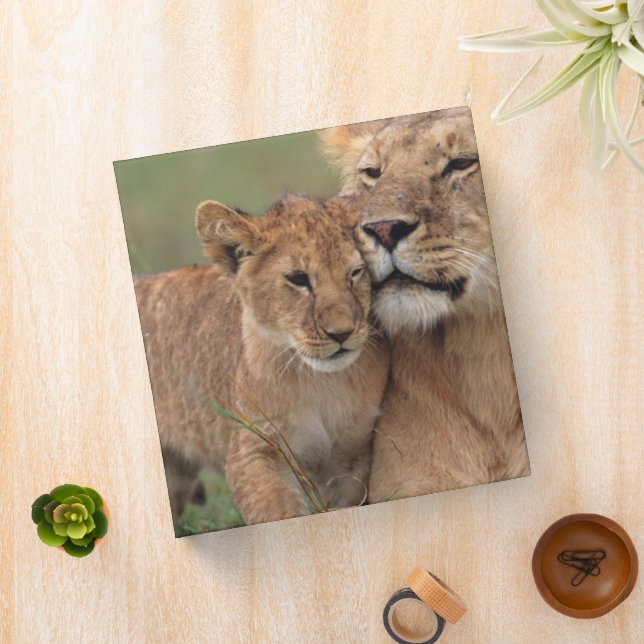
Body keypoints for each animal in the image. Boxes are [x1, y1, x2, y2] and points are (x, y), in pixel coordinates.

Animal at [134, 194, 389, 531]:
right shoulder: (254, 453)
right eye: (298, 279)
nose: (341, 333)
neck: (320, 381)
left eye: (356, 272)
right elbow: (281, 514)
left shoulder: (352, 458)